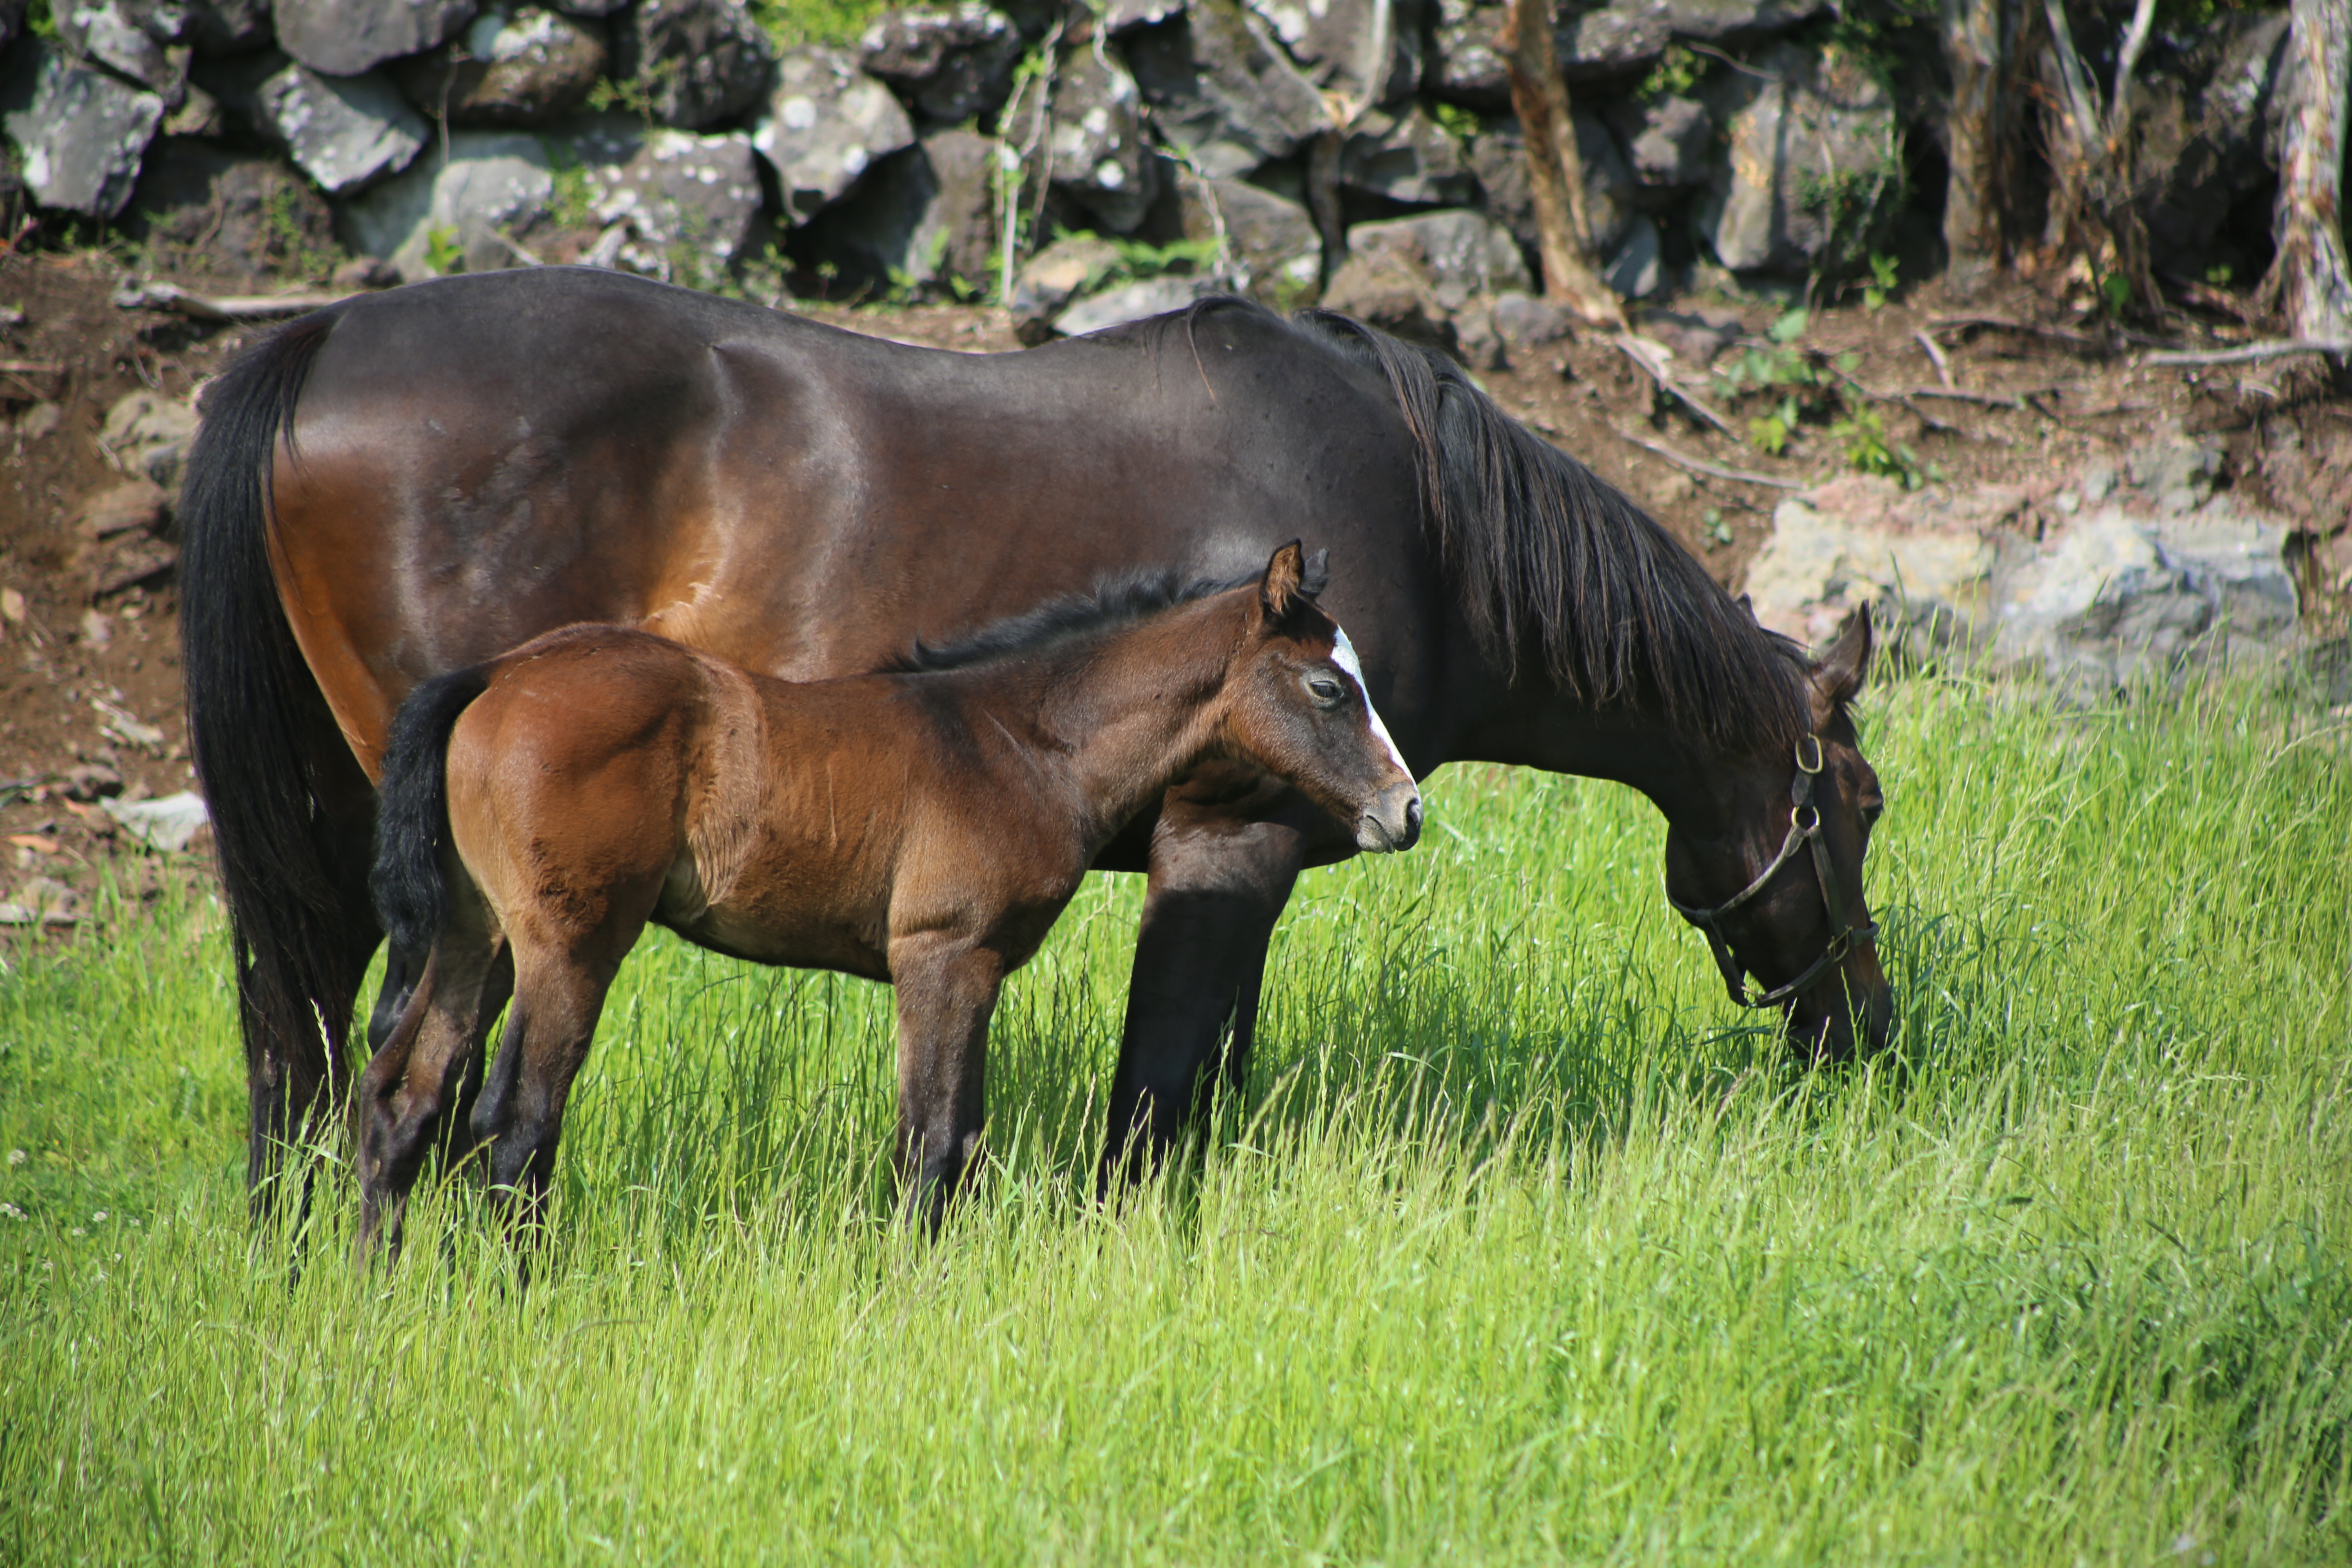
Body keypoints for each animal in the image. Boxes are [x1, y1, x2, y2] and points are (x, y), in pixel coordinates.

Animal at [348, 543, 1411, 1260]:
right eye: (1327, 686)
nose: (1405, 811)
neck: (1021, 741)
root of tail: (499, 671)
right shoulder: (946, 953)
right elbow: (934, 1140)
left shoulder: (965, 965)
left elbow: (954, 1136)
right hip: (569, 943)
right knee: (518, 1117)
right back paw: (516, 1289)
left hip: (475, 938)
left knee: (407, 1095)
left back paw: (379, 1286)